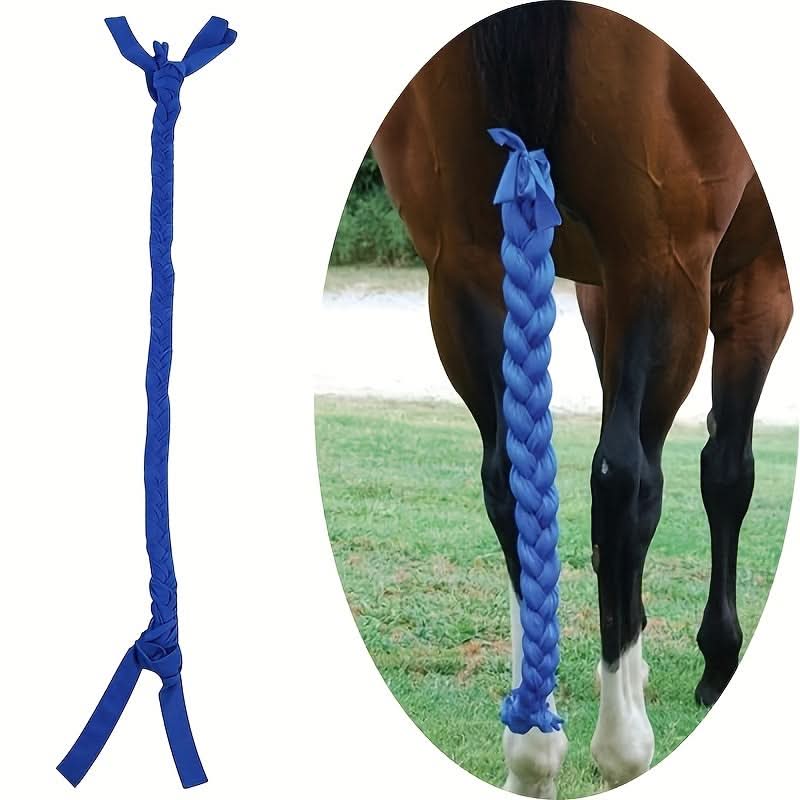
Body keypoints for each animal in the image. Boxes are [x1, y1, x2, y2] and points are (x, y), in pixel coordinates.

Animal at [370, 2, 792, 795]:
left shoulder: (593, 290)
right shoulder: (759, 284)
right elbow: (726, 471)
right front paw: (716, 659)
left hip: (465, 268)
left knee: (512, 478)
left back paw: (533, 748)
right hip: (661, 262)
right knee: (624, 479)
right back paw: (622, 745)